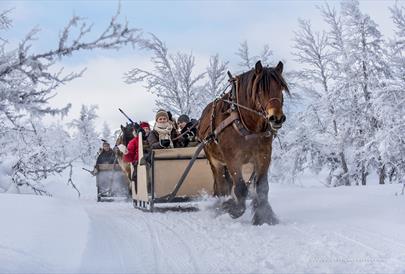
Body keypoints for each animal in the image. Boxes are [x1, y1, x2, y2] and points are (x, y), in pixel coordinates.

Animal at [196, 61, 288, 226]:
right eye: (260, 90)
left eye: (281, 88)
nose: (276, 118)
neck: (248, 126)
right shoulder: (233, 158)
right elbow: (240, 188)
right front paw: (232, 208)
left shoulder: (264, 156)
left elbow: (262, 188)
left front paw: (264, 216)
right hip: (215, 161)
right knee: (221, 185)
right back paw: (219, 206)